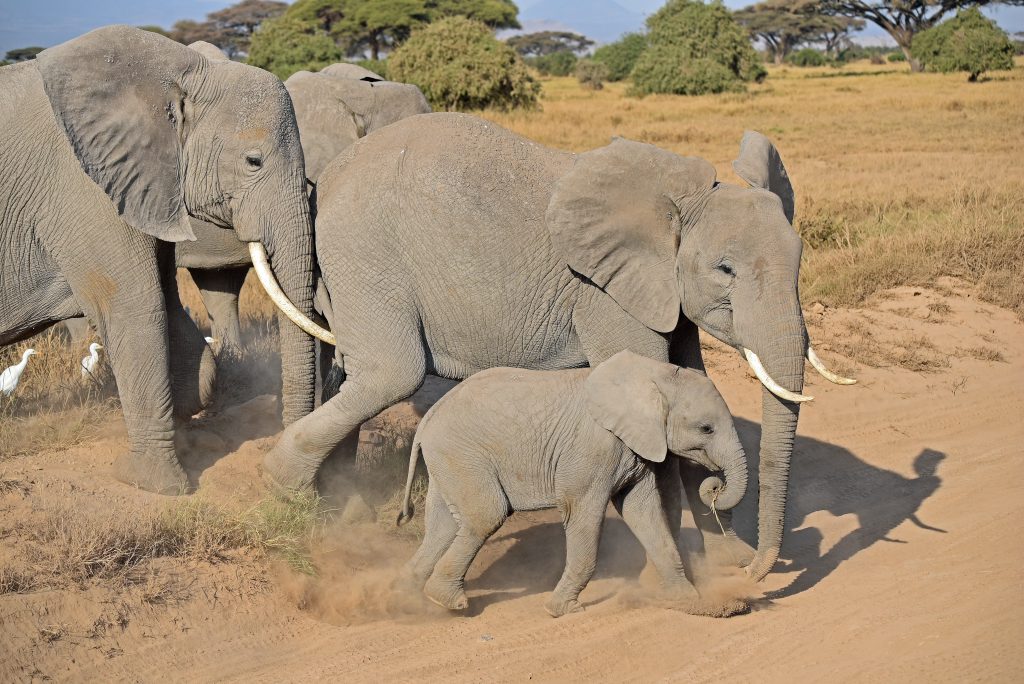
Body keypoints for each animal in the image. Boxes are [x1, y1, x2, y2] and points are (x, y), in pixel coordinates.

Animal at [0, 26, 330, 494]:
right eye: (253, 161)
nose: (290, 487)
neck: (178, 72)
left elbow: (173, 313)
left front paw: (187, 421)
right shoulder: (83, 187)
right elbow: (137, 307)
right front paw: (152, 483)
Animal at [267, 112, 855, 581]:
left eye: (801, 259)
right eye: (725, 270)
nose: (762, 570)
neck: (678, 206)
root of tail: (327, 178)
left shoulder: (662, 291)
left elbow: (691, 382)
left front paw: (725, 559)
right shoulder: (604, 293)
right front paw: (696, 562)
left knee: (354, 371)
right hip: (366, 253)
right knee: (394, 372)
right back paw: (283, 488)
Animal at [397, 350, 748, 617]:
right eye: (706, 429)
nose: (714, 486)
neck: (653, 375)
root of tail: (428, 419)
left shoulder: (635, 448)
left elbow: (644, 513)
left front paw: (693, 602)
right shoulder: (593, 450)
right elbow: (583, 515)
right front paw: (562, 610)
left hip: (449, 460)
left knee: (442, 526)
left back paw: (406, 598)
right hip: (462, 453)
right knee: (486, 516)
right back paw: (447, 601)